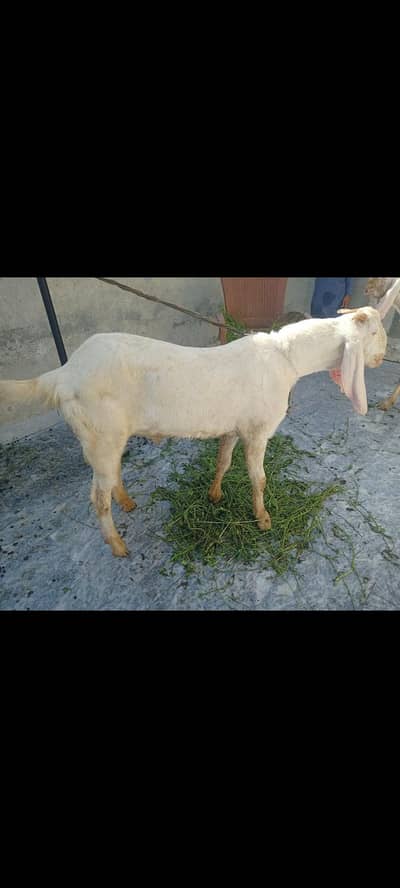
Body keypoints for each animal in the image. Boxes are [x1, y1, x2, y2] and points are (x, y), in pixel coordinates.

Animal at [0, 307, 387, 557]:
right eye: (375, 335)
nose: (382, 359)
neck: (285, 357)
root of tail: (63, 374)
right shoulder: (258, 430)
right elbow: (258, 478)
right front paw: (263, 520)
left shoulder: (234, 426)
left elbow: (223, 461)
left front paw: (215, 495)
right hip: (98, 436)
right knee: (97, 496)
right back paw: (118, 546)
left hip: (110, 437)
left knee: (110, 477)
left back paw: (127, 502)